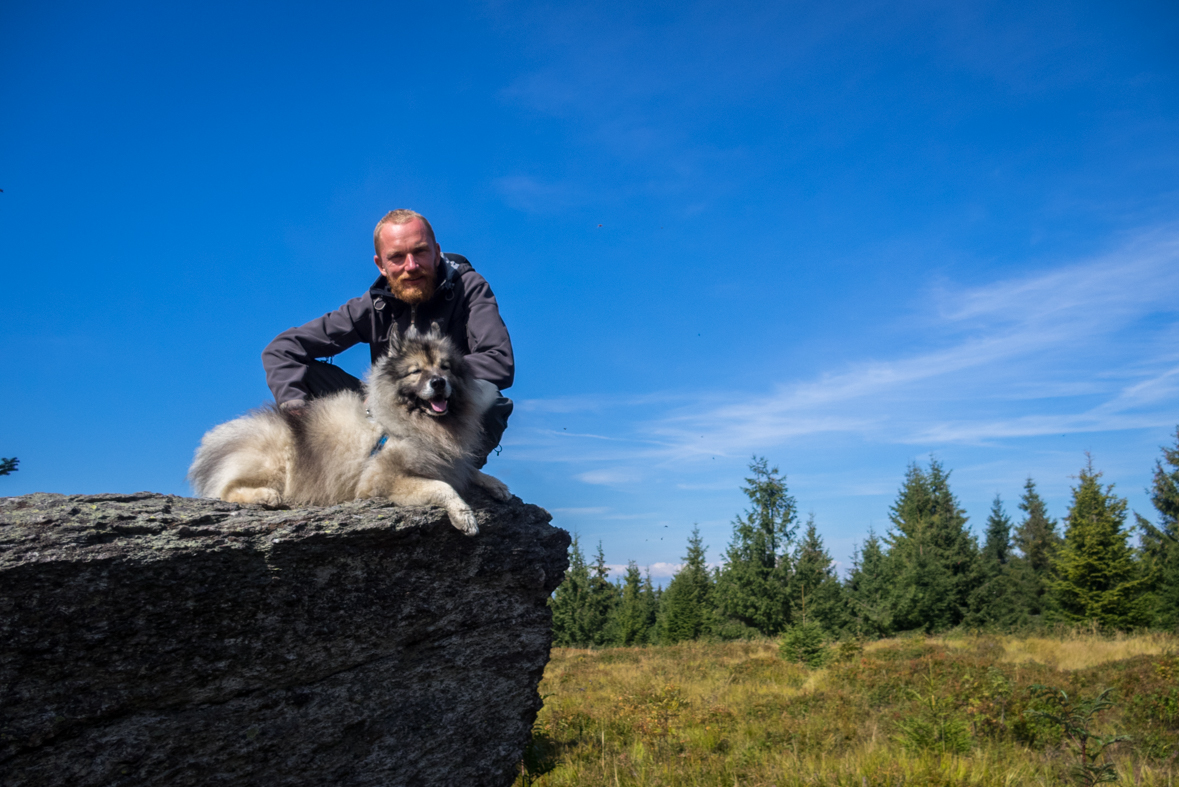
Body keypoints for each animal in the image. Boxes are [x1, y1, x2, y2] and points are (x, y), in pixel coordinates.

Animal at [186, 325, 509, 534]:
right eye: (416, 371)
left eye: (445, 368)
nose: (438, 383)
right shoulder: (382, 481)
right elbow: (444, 487)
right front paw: (464, 516)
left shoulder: (448, 459)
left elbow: (468, 471)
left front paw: (495, 484)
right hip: (274, 460)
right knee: (225, 490)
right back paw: (266, 496)